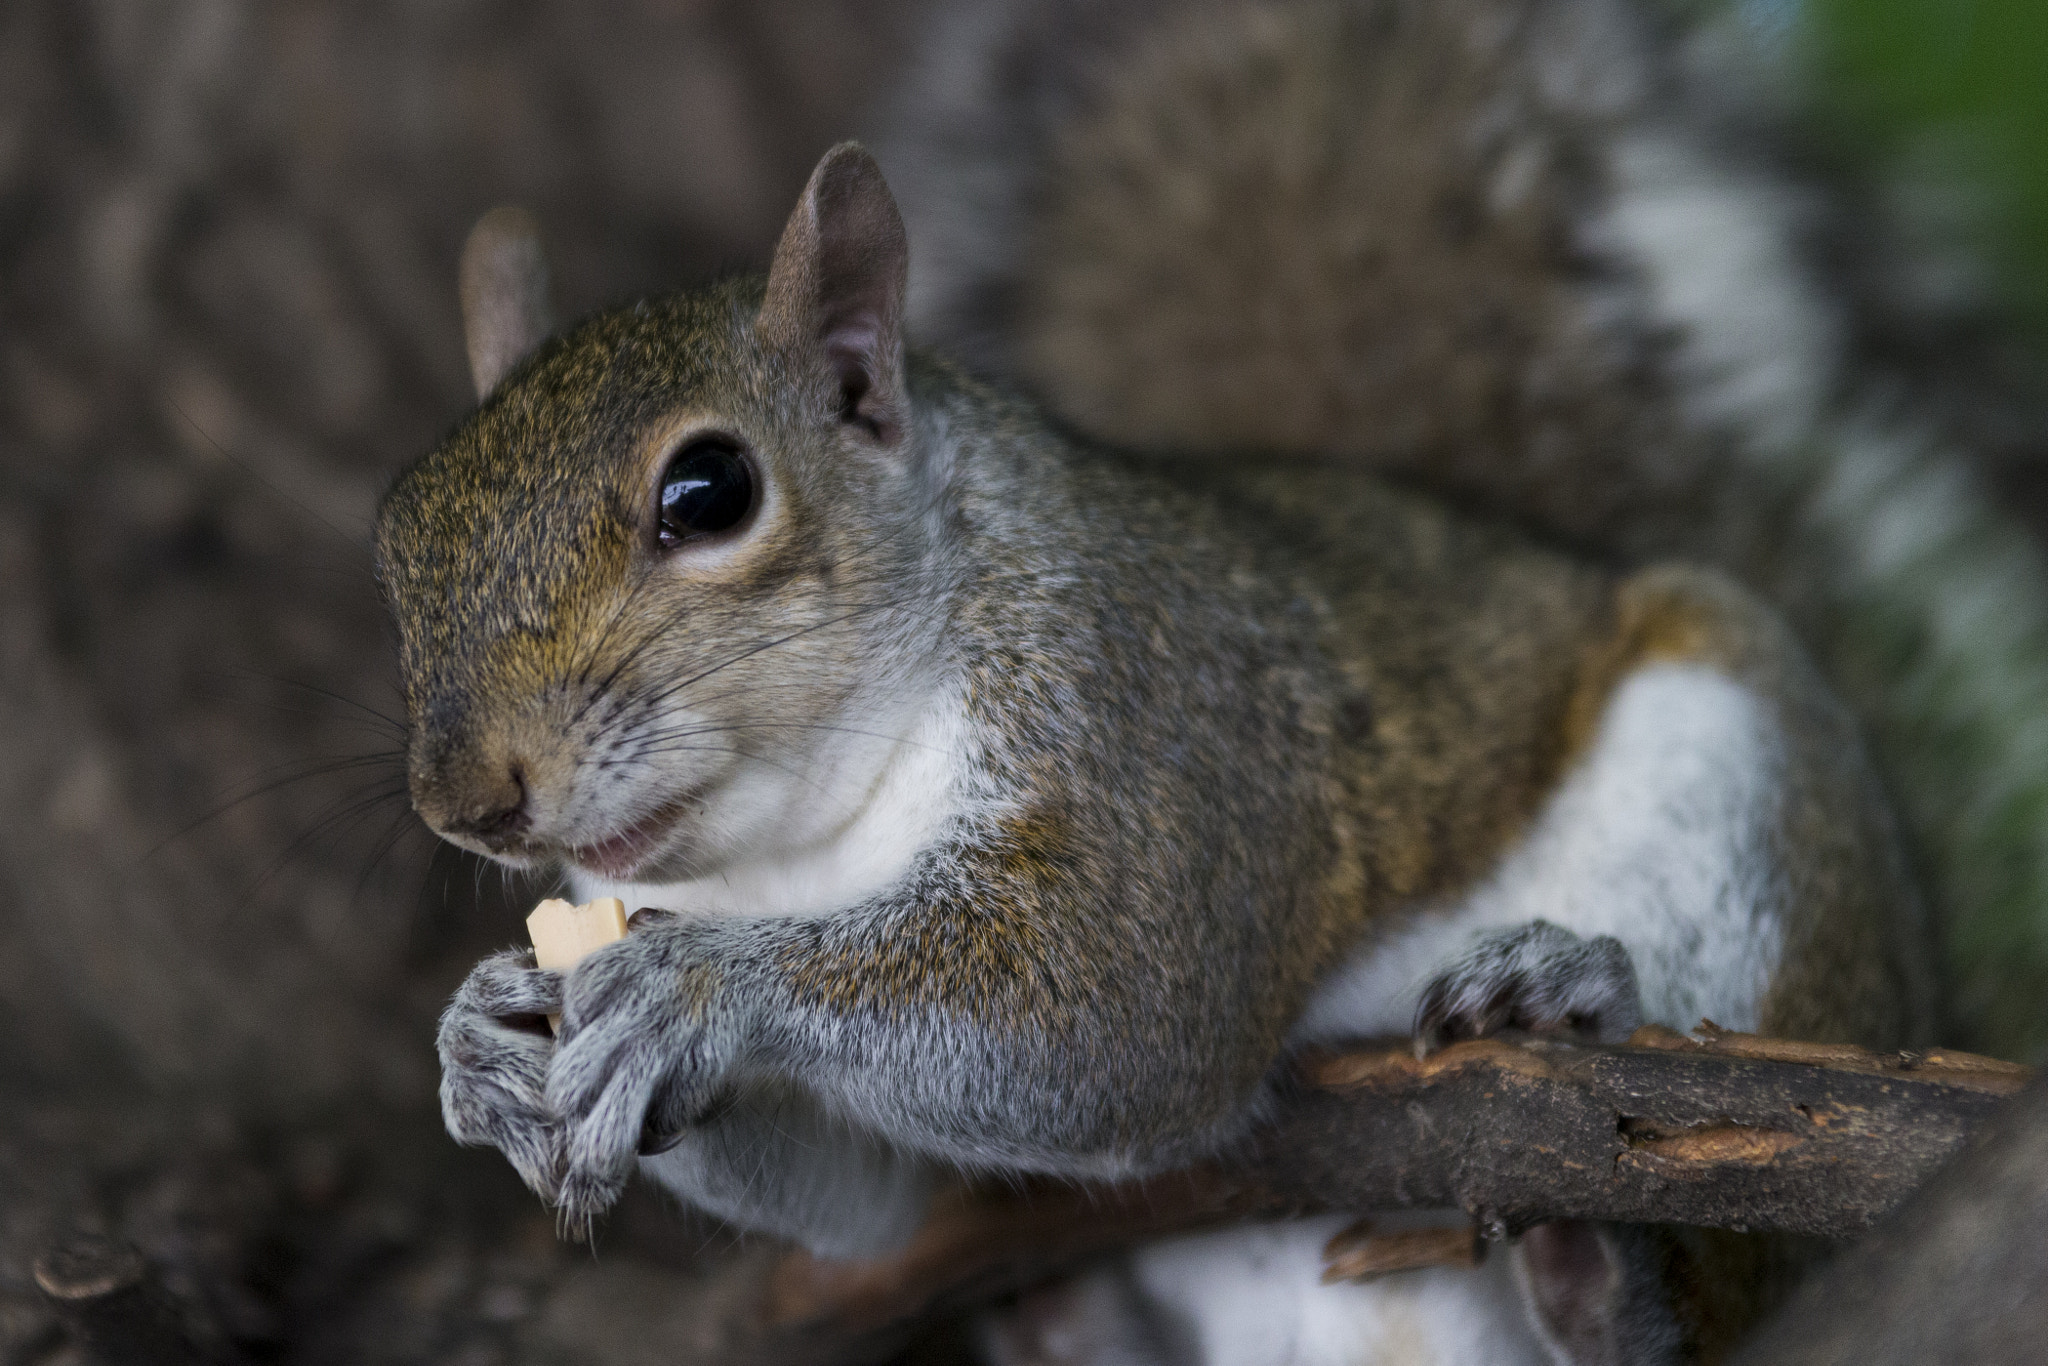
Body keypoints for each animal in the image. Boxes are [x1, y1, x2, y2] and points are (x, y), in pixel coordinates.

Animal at [378, 131, 1930, 1365]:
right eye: (393, 536)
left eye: (710, 490)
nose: (467, 805)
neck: (800, 840)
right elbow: (871, 1208)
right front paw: (477, 1046)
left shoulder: (1151, 713)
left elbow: (1118, 1007)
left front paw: (688, 991)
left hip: (1745, 806)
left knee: (1735, 1281)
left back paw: (1579, 1116)